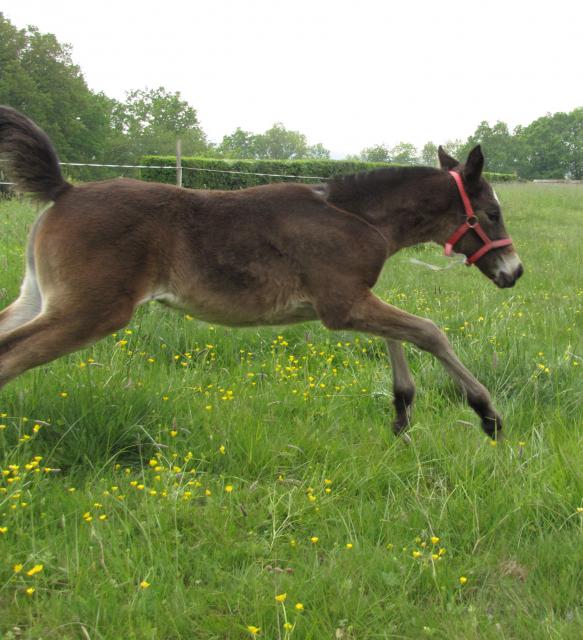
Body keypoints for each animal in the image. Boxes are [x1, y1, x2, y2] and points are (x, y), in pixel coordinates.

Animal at [0, 110, 524, 438]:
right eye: (492, 213)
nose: (514, 271)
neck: (355, 217)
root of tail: (65, 190)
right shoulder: (342, 305)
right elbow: (428, 331)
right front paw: (488, 414)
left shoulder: (351, 301)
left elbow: (400, 335)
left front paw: (401, 412)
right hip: (91, 311)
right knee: (12, 355)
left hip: (38, 299)